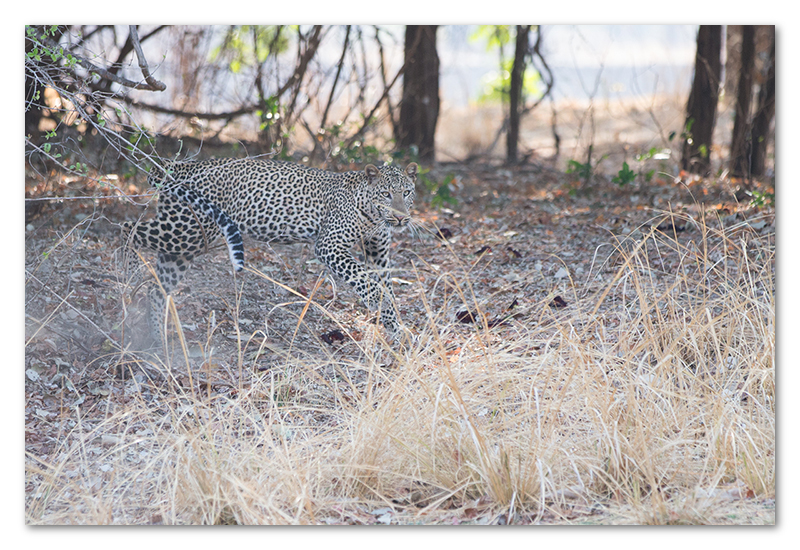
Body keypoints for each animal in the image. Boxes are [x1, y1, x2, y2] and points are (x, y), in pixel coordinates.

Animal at [122, 157, 418, 348]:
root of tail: (179, 166)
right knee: (127, 228)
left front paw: (397, 330)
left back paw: (159, 340)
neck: (373, 215)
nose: (401, 218)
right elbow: (367, 283)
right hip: (185, 231)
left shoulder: (378, 251)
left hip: (185, 244)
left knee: (157, 290)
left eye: (406, 192)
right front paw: (384, 312)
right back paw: (124, 276)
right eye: (386, 194)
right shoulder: (330, 245)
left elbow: (387, 288)